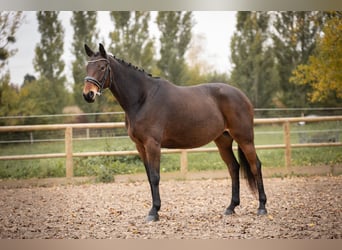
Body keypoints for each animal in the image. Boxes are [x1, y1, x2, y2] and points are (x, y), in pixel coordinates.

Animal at [82, 44, 268, 222]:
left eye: (102, 67)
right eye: (87, 67)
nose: (88, 94)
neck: (143, 98)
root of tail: (242, 95)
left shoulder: (153, 144)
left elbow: (155, 176)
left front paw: (154, 212)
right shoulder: (140, 146)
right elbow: (149, 177)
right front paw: (153, 209)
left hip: (245, 138)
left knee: (255, 166)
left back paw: (262, 207)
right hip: (223, 141)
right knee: (233, 167)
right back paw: (231, 207)